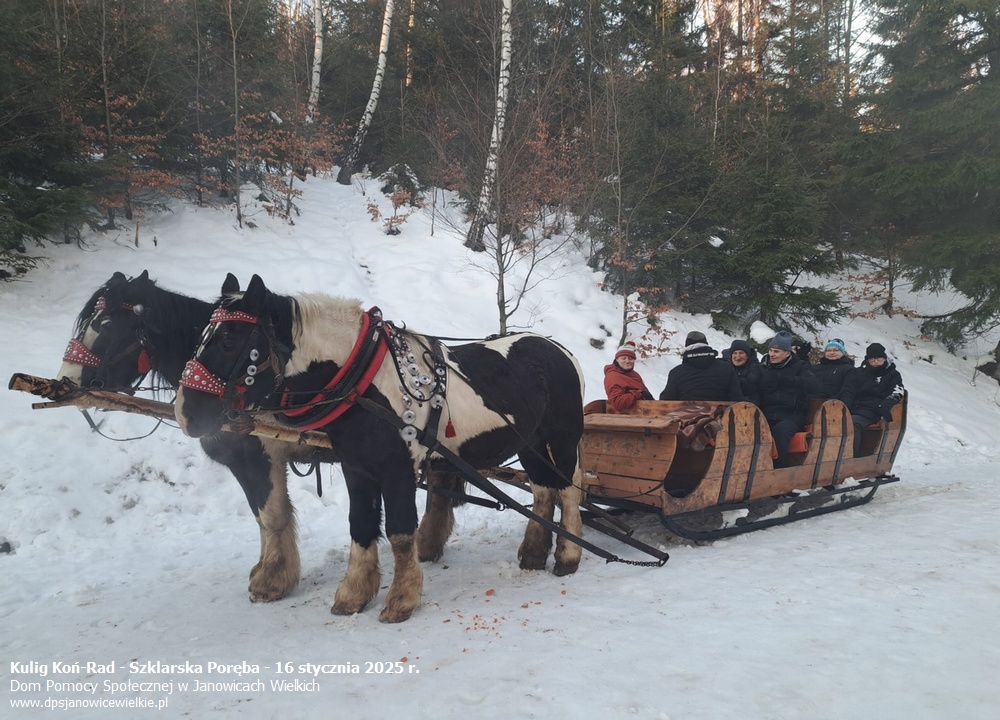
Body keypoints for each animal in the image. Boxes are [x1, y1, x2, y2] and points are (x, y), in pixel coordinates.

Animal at [176, 272, 584, 620]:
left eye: (229, 340)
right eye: (200, 337)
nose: (184, 412)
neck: (364, 383)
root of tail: (557, 347)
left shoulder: (397, 468)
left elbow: (401, 532)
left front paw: (401, 600)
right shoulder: (356, 466)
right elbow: (360, 523)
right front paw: (353, 594)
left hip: (562, 440)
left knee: (566, 491)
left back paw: (568, 556)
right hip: (531, 444)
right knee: (543, 490)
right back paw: (533, 554)